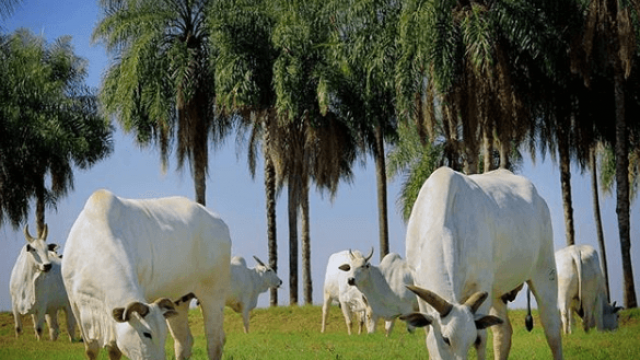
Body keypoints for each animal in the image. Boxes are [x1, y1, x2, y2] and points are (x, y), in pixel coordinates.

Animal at [62, 188, 231, 360]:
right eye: (146, 334)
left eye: (163, 336)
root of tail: (219, 223)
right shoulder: (76, 306)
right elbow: (93, 350)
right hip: (180, 300)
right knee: (184, 341)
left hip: (214, 293)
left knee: (215, 341)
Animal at [402, 168, 564, 360]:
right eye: (445, 339)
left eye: (469, 341)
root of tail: (540, 201)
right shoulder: (419, 287)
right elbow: (429, 335)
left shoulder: (482, 284)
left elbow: (481, 337)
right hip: (498, 292)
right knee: (503, 332)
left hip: (544, 270)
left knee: (552, 327)